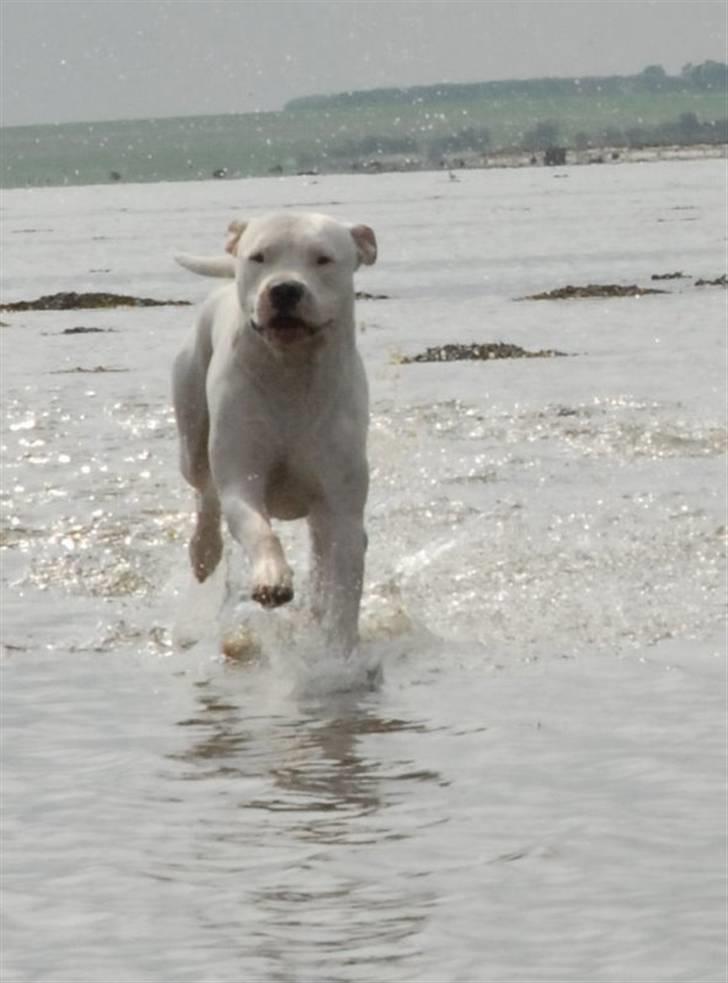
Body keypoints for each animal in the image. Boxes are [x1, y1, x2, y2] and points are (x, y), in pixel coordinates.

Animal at [171, 210, 376, 652]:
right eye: (259, 257)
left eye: (323, 259)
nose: (284, 289)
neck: (291, 371)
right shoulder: (242, 479)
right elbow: (257, 528)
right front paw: (272, 580)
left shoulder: (341, 504)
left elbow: (342, 582)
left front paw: (336, 645)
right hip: (192, 432)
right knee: (204, 490)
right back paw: (204, 551)